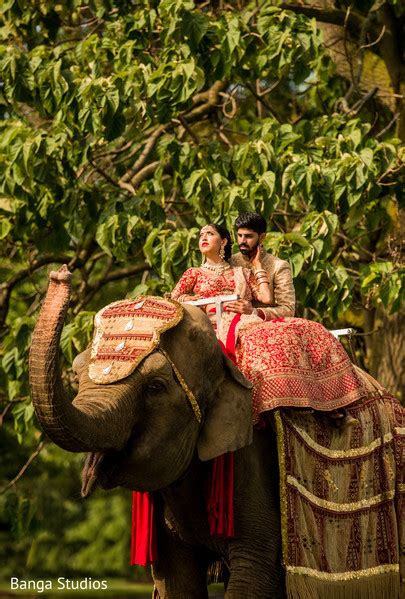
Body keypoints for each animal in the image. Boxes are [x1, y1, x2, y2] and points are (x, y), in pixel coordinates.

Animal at [30, 268, 402, 599]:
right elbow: (176, 582)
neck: (227, 363)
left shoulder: (254, 462)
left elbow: (254, 578)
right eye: (77, 373)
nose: (61, 274)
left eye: (155, 387)